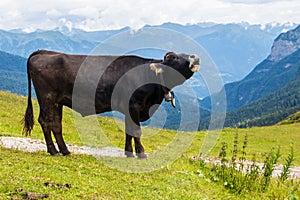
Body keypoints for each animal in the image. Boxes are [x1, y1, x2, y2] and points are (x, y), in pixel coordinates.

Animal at [23, 50, 200, 159]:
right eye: (174, 58)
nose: (195, 57)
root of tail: (44, 52)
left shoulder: (130, 109)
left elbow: (129, 131)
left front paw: (129, 153)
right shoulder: (135, 105)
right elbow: (136, 131)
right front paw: (141, 153)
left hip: (57, 102)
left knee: (56, 124)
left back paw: (65, 150)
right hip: (47, 97)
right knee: (45, 121)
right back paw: (53, 151)